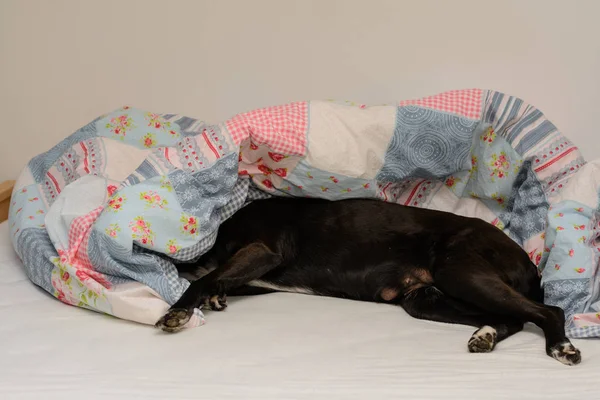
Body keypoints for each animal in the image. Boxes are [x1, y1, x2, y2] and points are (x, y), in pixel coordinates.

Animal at [155, 198, 580, 366]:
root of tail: (529, 262)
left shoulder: (264, 250)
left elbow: (202, 281)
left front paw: (176, 312)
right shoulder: (251, 272)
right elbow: (218, 279)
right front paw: (215, 297)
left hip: (460, 272)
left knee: (549, 311)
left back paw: (561, 347)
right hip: (425, 299)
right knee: (511, 318)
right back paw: (484, 336)